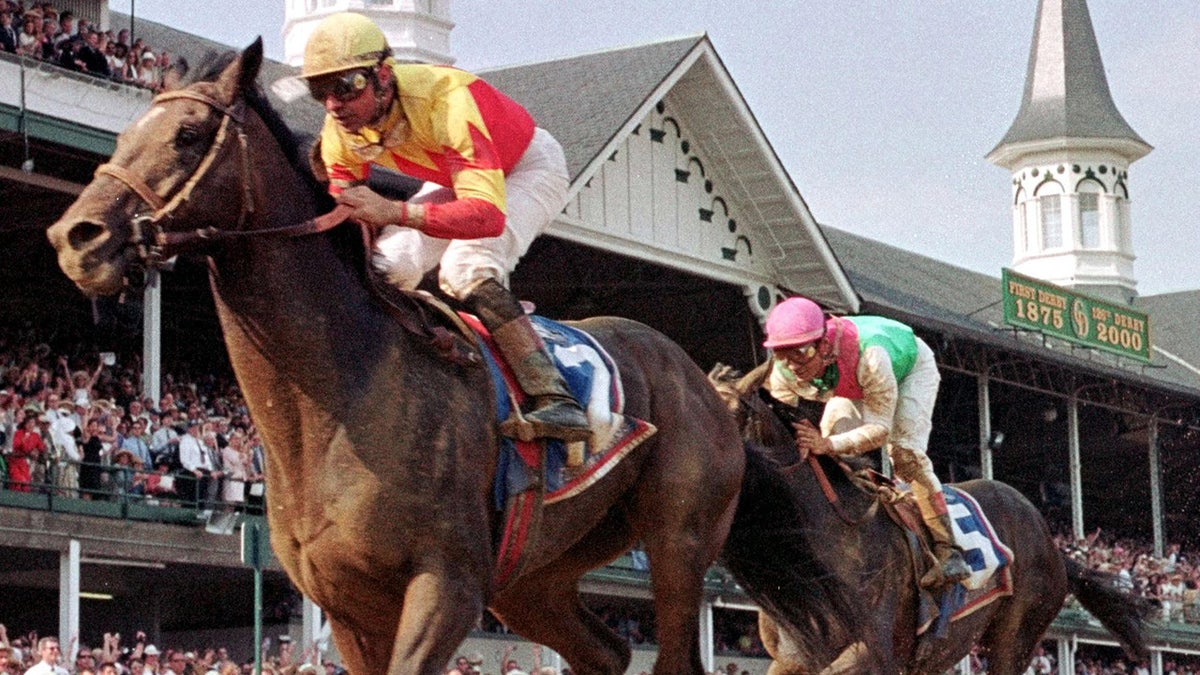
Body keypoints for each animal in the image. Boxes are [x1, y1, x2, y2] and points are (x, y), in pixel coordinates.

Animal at [46, 40, 864, 672]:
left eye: (187, 133)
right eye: (126, 132)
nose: (76, 236)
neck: (339, 397)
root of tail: (703, 381)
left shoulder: (447, 583)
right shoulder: (346, 602)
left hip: (678, 541)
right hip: (536, 574)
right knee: (602, 651)